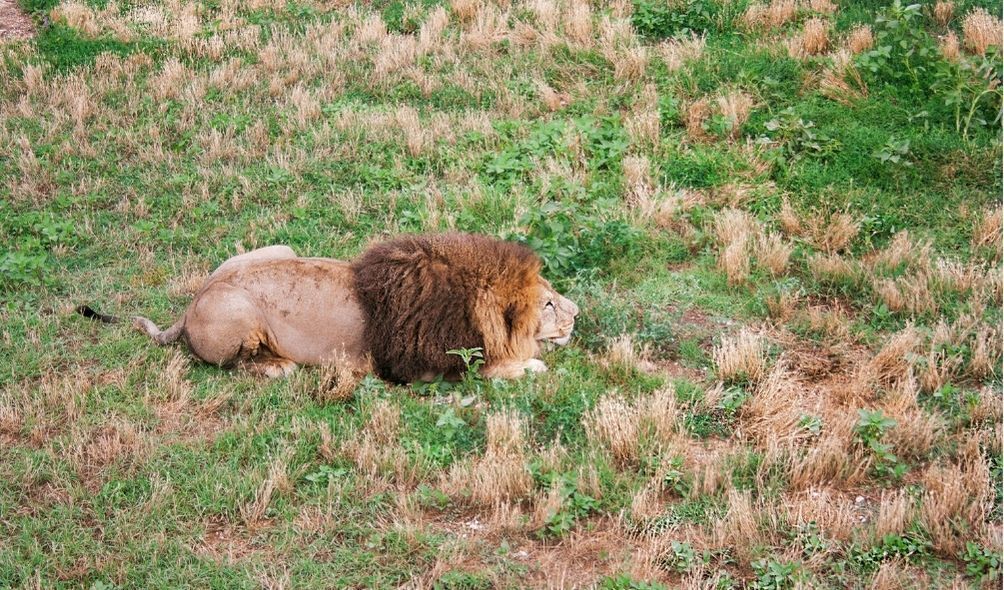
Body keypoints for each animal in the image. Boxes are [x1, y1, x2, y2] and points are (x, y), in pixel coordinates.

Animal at [84, 233, 582, 383]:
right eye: (549, 303)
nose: (578, 313)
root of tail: (192, 304)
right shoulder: (423, 368)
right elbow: (497, 368)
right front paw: (531, 364)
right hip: (239, 314)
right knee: (238, 364)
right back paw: (278, 365)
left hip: (277, 246)